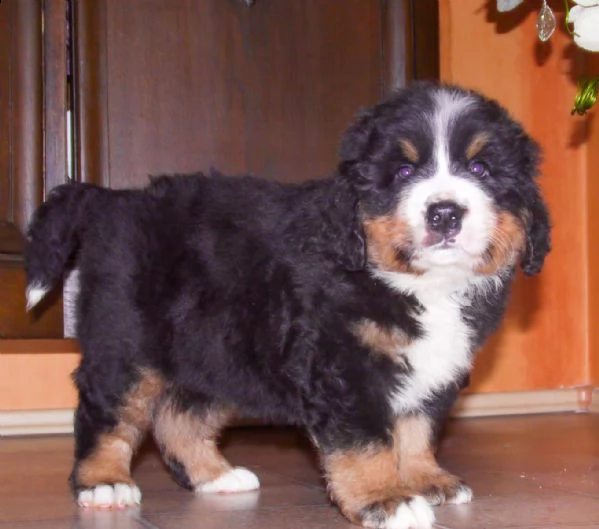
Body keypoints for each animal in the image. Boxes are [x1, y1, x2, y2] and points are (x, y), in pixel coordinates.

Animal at [25, 82, 552, 528]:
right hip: (126, 339)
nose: (444, 213)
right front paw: (386, 500)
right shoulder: (345, 368)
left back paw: (217, 476)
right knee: (105, 410)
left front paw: (426, 479)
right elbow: (367, 441)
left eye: (480, 169)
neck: (415, 283)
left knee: (179, 418)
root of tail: (112, 200)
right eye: (403, 171)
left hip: (213, 351)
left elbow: (416, 428)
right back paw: (104, 483)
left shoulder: (432, 371)